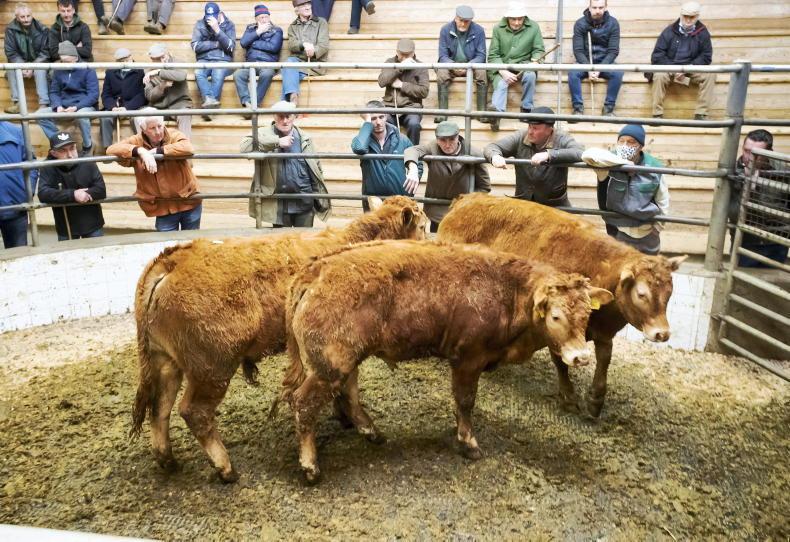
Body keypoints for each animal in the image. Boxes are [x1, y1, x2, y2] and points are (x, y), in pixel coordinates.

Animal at [131, 196, 428, 482]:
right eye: (424, 226)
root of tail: (170, 261)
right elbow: (350, 389)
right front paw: (363, 426)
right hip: (211, 367)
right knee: (194, 411)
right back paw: (225, 468)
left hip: (166, 361)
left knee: (160, 407)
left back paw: (167, 460)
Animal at [280, 240, 614, 483]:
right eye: (555, 316)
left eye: (587, 314)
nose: (581, 356)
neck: (510, 291)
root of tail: (316, 268)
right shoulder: (468, 359)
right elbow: (465, 401)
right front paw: (468, 443)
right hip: (330, 366)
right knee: (304, 404)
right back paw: (310, 466)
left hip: (346, 360)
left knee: (347, 394)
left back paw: (371, 432)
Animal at [437, 193, 687, 417]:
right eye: (641, 294)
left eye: (669, 292)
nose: (662, 334)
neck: (599, 268)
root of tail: (466, 199)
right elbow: (561, 362)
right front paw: (568, 397)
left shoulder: (603, 332)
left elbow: (604, 359)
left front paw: (596, 399)